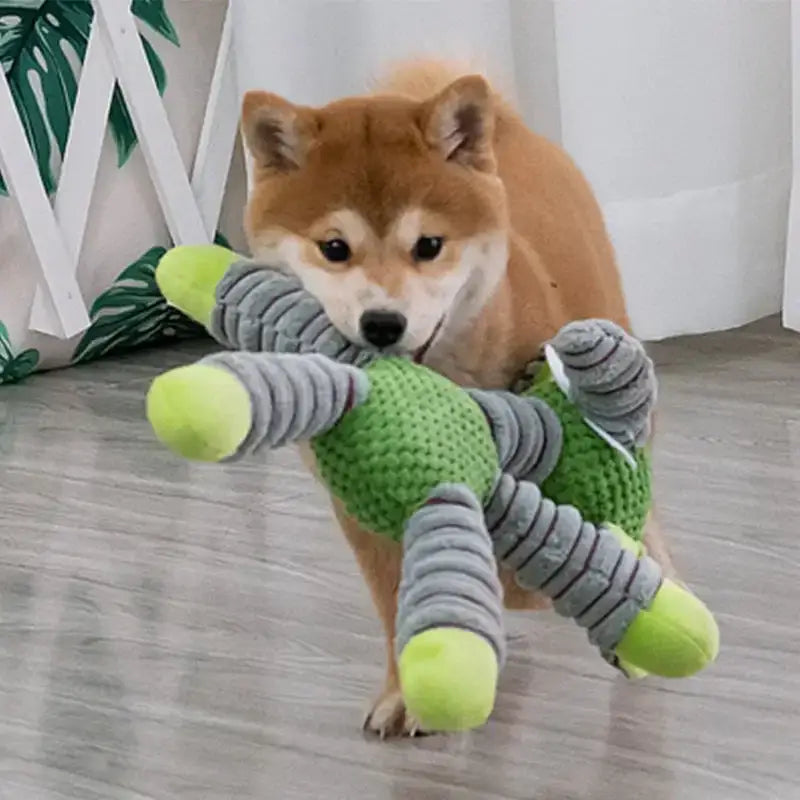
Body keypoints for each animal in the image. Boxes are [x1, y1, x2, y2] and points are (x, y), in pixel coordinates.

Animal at [239, 57, 676, 736]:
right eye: (334, 248)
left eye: (429, 246)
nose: (382, 323)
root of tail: (515, 130)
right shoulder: (362, 507)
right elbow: (395, 599)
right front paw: (404, 692)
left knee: (641, 506)